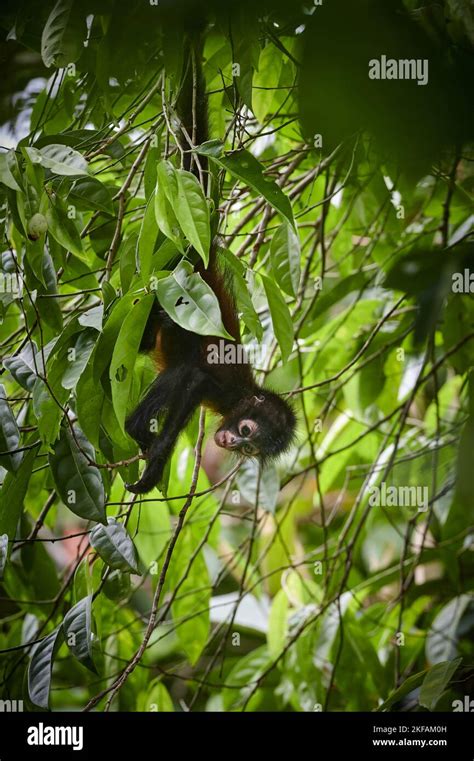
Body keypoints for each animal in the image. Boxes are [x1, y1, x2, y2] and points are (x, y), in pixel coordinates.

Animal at [126, 23, 296, 496]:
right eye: (247, 432)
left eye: (250, 447)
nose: (230, 442)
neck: (240, 397)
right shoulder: (218, 381)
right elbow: (193, 376)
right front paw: (150, 456)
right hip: (168, 284)